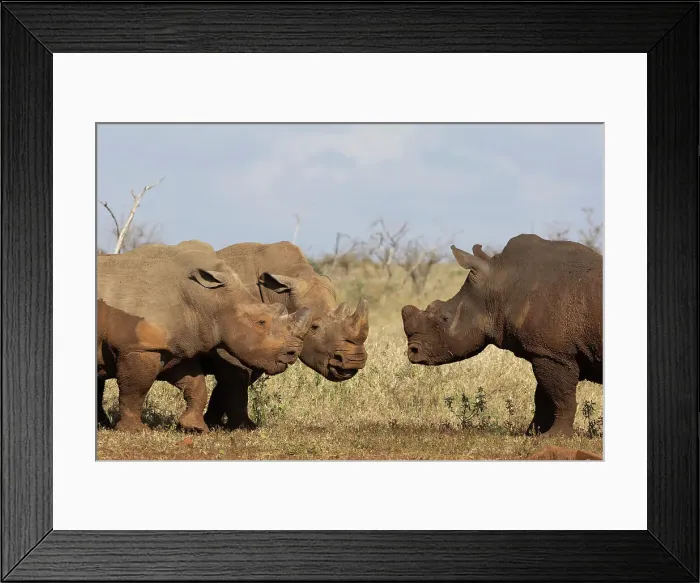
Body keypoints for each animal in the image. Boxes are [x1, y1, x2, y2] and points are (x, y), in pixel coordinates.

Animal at [97, 240, 312, 432]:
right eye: (261, 322)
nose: (292, 353)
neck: (209, 300)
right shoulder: (138, 347)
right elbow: (135, 389)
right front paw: (135, 430)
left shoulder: (180, 344)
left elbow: (196, 385)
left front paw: (195, 428)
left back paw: (102, 426)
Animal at [174, 241, 370, 431]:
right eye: (314, 327)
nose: (355, 361)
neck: (279, 293)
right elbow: (236, 379)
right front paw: (244, 427)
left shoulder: (263, 347)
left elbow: (232, 383)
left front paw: (214, 423)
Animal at [401, 234, 602, 437]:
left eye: (445, 318)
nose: (413, 351)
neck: (500, 287)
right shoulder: (543, 351)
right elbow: (543, 398)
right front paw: (532, 434)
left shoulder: (553, 353)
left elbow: (561, 397)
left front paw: (555, 436)